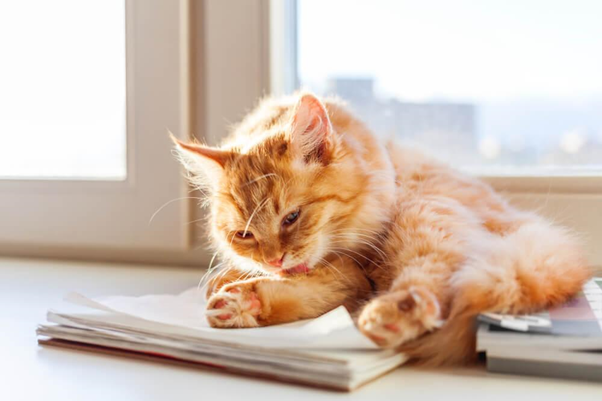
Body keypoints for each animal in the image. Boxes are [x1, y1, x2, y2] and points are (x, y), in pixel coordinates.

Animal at [171, 92, 588, 364]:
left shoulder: (355, 269)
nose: (275, 261)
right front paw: (242, 294)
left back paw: (395, 313)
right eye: (244, 235)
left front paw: (244, 292)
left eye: (292, 217)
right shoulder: (349, 277)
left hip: (422, 217)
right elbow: (306, 288)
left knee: (434, 289)